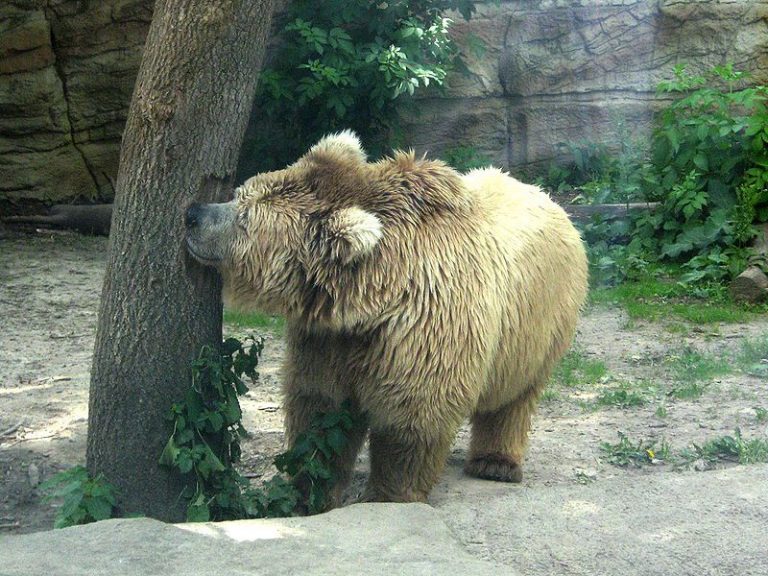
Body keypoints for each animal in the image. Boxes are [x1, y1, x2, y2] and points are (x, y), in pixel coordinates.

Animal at [185, 131, 588, 505]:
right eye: (240, 192)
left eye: (244, 217)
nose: (193, 214)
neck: (369, 301)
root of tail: (543, 194)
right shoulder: (327, 341)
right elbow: (320, 407)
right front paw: (311, 489)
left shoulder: (424, 331)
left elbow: (409, 419)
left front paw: (389, 493)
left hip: (539, 322)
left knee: (515, 396)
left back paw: (496, 463)